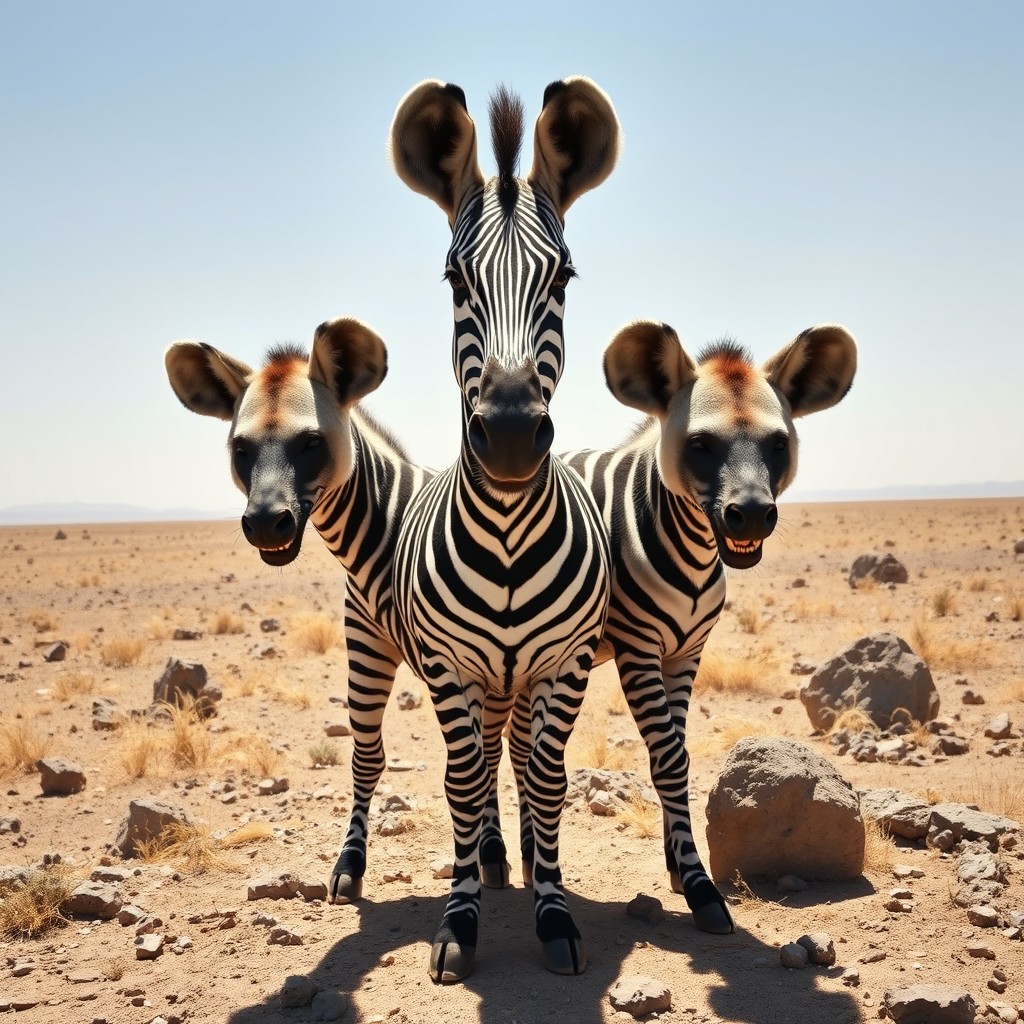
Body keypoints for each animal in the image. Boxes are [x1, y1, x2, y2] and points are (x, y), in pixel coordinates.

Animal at [164, 317, 433, 905]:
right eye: (240, 449)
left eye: (311, 443)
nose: (267, 524)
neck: (389, 532)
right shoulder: (367, 647)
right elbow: (367, 758)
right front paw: (348, 866)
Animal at [388, 77, 619, 982]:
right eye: (455, 278)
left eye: (565, 275)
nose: (515, 434)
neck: (514, 534)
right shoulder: (449, 664)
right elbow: (460, 782)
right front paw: (460, 920)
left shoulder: (565, 662)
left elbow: (548, 780)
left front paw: (553, 911)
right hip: (483, 678)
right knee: (484, 760)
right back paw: (487, 856)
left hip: (517, 680)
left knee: (513, 756)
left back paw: (514, 851)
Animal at [564, 318, 858, 933]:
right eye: (699, 445)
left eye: (779, 444)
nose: (750, 517)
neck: (694, 551)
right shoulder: (638, 648)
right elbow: (669, 760)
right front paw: (700, 888)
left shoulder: (686, 652)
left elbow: (675, 752)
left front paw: (681, 866)